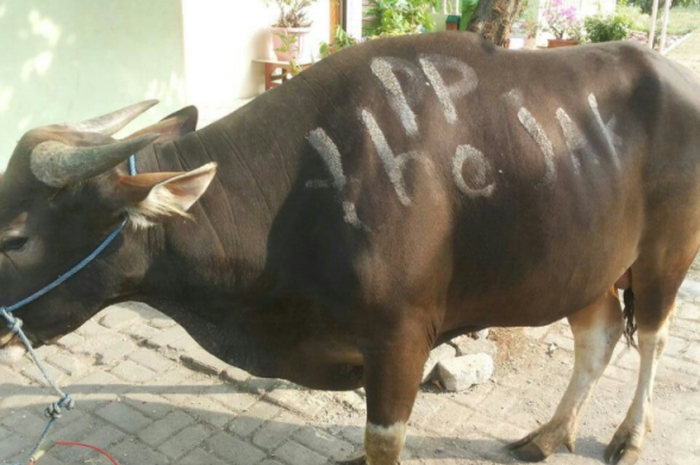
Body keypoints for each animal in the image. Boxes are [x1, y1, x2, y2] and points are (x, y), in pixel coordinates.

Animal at [1, 32, 700, 464]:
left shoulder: (400, 341)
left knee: (653, 337)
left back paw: (629, 437)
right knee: (599, 336)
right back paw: (549, 434)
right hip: (587, 266)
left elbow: (382, 442)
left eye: (16, 237)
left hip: (664, 257)